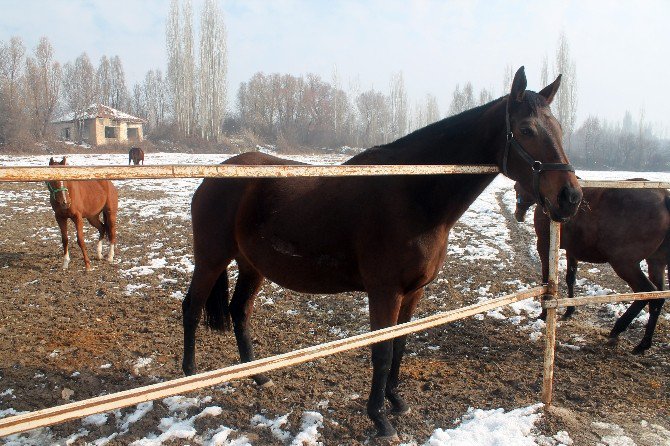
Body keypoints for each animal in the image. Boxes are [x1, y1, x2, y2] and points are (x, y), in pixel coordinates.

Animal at [182, 67, 584, 440]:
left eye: (559, 128)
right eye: (527, 130)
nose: (571, 197)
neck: (413, 194)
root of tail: (215, 174)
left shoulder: (413, 291)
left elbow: (401, 344)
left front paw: (396, 401)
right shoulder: (384, 292)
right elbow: (382, 350)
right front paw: (379, 419)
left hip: (253, 266)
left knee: (239, 311)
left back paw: (258, 377)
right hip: (211, 259)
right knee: (192, 307)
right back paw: (189, 377)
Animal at [516, 180, 668, 352]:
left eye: (516, 187)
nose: (518, 214)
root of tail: (664, 196)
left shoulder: (544, 246)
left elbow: (546, 279)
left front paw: (543, 313)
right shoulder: (572, 251)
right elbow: (570, 278)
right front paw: (569, 310)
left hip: (625, 265)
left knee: (646, 292)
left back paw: (619, 329)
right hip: (656, 263)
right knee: (658, 297)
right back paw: (644, 343)